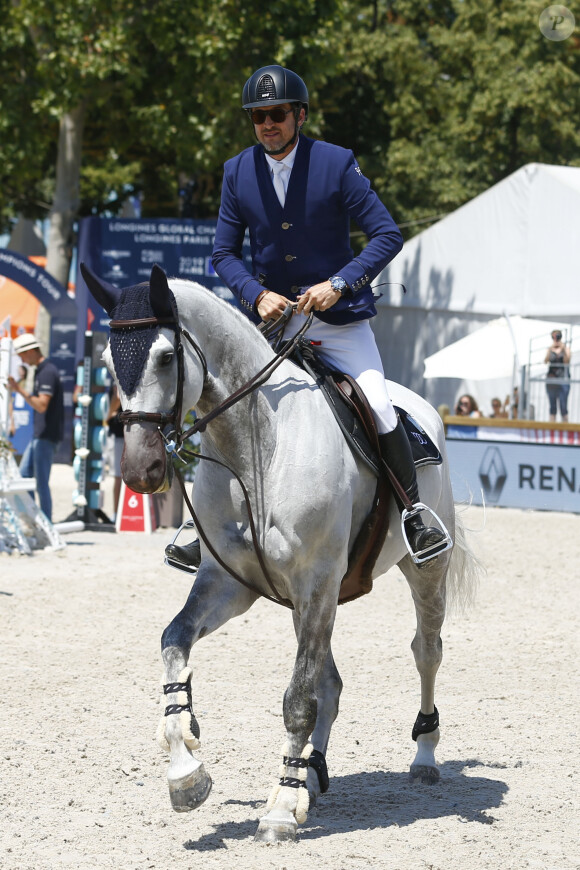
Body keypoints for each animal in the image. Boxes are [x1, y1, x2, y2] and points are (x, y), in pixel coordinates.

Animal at [82, 266, 480, 844]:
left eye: (165, 357)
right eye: (110, 362)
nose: (140, 471)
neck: (257, 445)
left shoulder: (316, 581)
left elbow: (297, 701)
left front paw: (278, 811)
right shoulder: (230, 583)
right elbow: (174, 642)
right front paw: (186, 772)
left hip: (421, 570)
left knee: (426, 651)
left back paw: (423, 756)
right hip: (304, 600)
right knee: (330, 682)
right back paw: (310, 775)